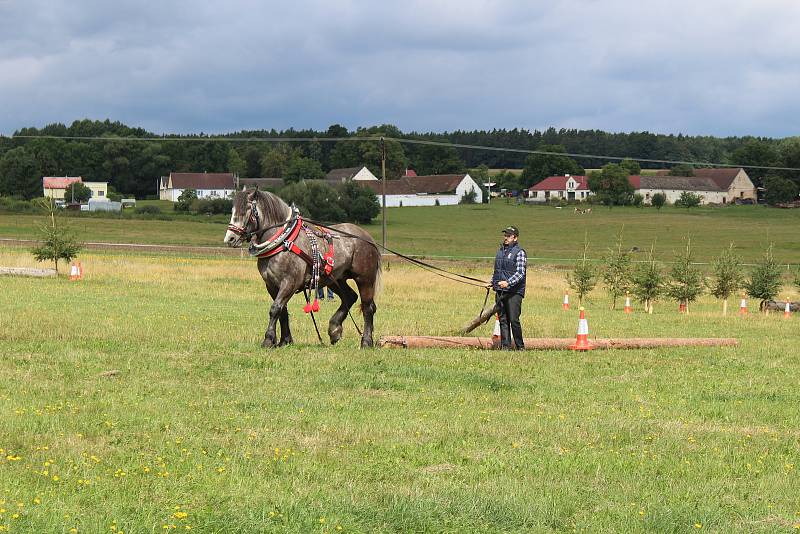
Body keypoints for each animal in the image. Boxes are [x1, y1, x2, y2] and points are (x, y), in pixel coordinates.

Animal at [220, 191, 380, 350]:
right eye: (233, 211)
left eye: (245, 211)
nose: (230, 238)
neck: (284, 242)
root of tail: (367, 237)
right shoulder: (271, 285)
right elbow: (282, 311)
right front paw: (285, 340)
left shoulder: (290, 282)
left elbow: (275, 308)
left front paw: (268, 339)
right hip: (333, 278)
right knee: (350, 297)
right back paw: (334, 329)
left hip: (364, 279)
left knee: (368, 307)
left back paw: (366, 341)